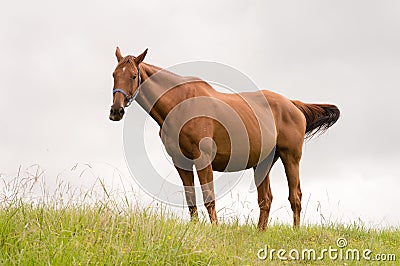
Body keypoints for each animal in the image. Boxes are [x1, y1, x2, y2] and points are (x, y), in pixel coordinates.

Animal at [109, 46, 340, 230]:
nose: (116, 111)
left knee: (295, 197)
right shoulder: (181, 162)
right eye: (114, 75)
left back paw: (295, 231)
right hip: (263, 163)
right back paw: (260, 232)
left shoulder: (203, 159)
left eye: (133, 75)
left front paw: (215, 229)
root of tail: (293, 104)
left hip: (291, 157)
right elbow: (191, 198)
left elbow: (209, 197)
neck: (182, 103)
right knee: (265, 200)